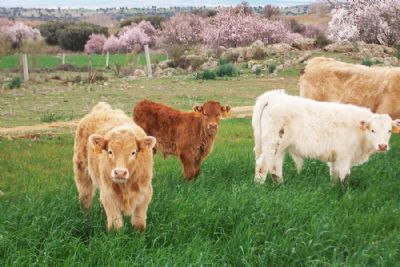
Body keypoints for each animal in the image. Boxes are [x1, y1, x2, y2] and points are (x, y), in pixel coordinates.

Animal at [252, 90, 398, 184]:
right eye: (373, 130)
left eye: (389, 130)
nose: (383, 146)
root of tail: (273, 97)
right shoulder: (344, 156)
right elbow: (345, 178)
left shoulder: (335, 159)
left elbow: (334, 176)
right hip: (272, 143)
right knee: (262, 165)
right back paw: (260, 187)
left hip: (280, 146)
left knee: (275, 166)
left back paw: (280, 184)